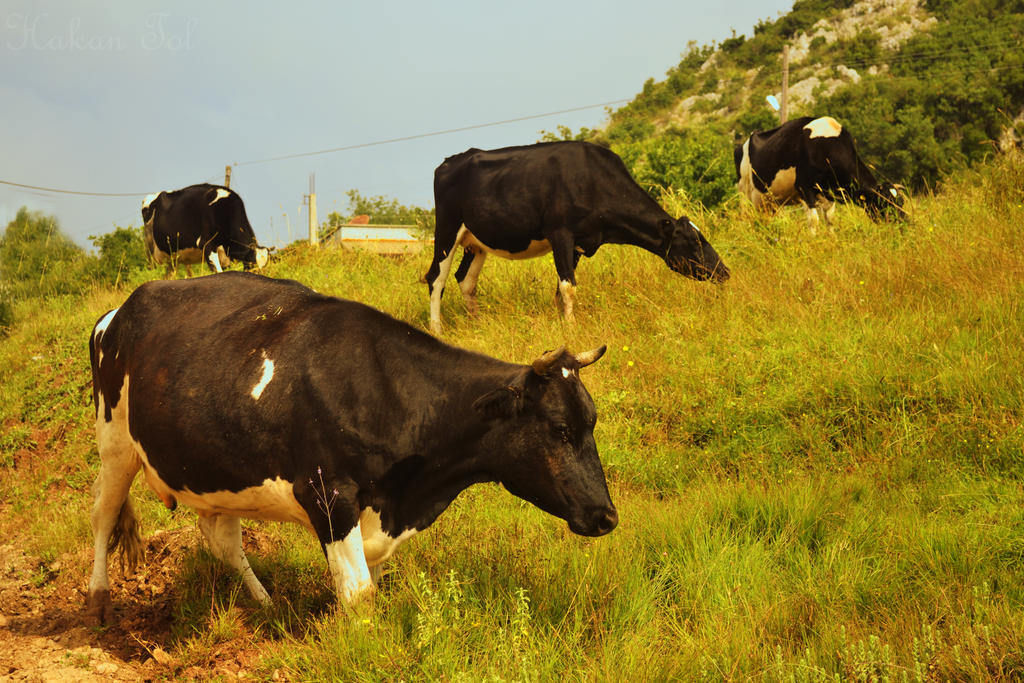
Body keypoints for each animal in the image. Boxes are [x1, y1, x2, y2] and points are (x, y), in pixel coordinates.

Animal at [86, 272, 614, 626]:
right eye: (559, 429)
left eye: (591, 422)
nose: (607, 516)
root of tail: (117, 312)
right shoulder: (329, 496)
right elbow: (358, 594)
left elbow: (368, 584)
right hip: (114, 443)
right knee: (104, 515)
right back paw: (98, 602)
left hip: (212, 473)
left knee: (223, 543)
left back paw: (268, 606)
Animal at [144, 184, 274, 278]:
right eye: (252, 265)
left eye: (267, 268)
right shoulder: (206, 244)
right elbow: (218, 272)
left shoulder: (224, 256)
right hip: (151, 254)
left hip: (172, 259)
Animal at [423, 143, 729, 335]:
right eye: (694, 242)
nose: (724, 271)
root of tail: (450, 161)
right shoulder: (560, 233)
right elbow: (568, 287)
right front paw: (571, 329)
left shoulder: (581, 243)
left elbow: (561, 290)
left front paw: (563, 323)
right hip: (447, 230)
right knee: (436, 278)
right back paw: (437, 329)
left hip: (476, 242)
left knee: (465, 279)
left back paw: (477, 323)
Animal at [737, 116, 905, 225]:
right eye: (885, 203)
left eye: (901, 202)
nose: (904, 223)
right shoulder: (804, 188)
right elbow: (813, 220)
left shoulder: (829, 193)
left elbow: (830, 219)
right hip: (745, 195)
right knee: (746, 220)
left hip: (768, 202)